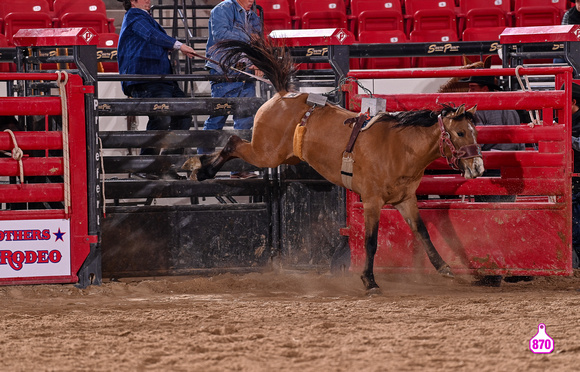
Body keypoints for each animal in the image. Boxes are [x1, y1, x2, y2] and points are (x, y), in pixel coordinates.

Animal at [185, 36, 484, 292]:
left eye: (475, 131)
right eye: (460, 133)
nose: (479, 167)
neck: (399, 148)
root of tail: (283, 94)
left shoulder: (406, 199)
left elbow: (423, 233)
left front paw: (445, 269)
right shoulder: (372, 201)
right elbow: (371, 241)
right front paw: (369, 280)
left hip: (282, 155)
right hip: (265, 153)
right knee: (234, 141)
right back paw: (201, 169)